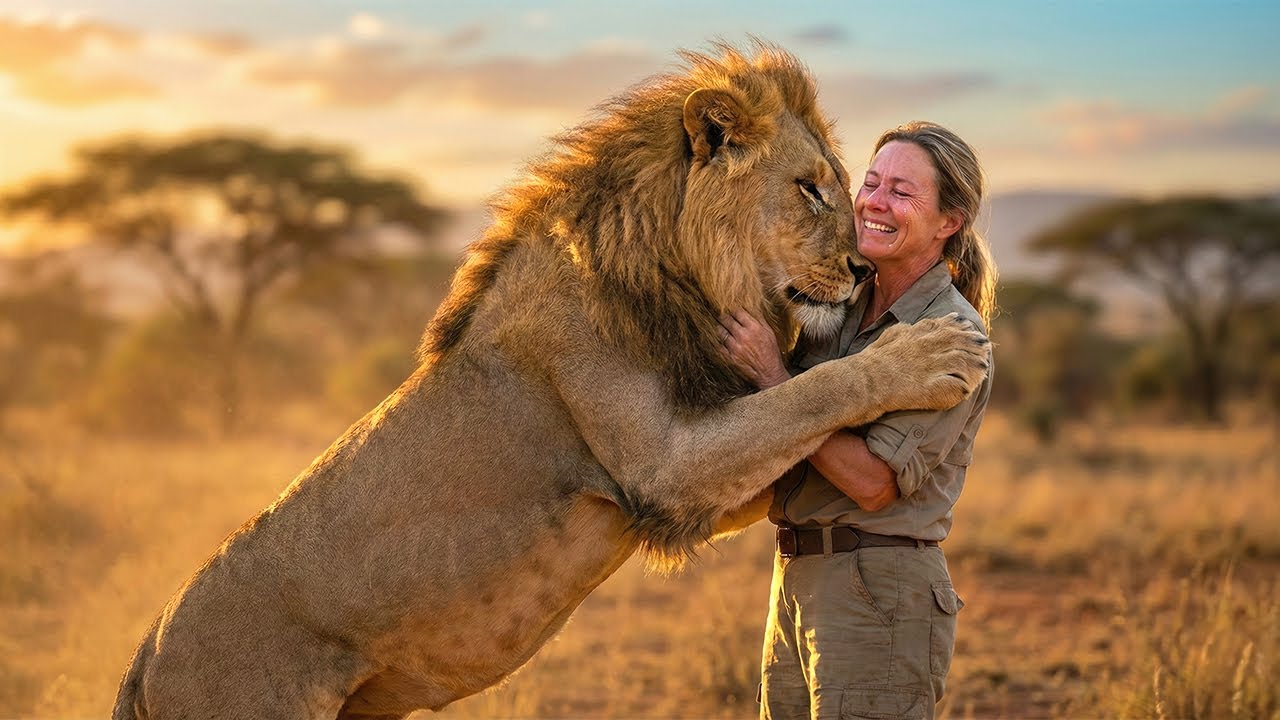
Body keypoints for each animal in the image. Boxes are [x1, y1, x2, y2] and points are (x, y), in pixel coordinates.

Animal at [113, 44, 989, 719]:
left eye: (861, 190)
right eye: (809, 188)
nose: (863, 268)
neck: (677, 270)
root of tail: (146, 658)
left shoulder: (694, 487)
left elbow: (802, 416)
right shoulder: (665, 471)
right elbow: (814, 391)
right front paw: (938, 350)